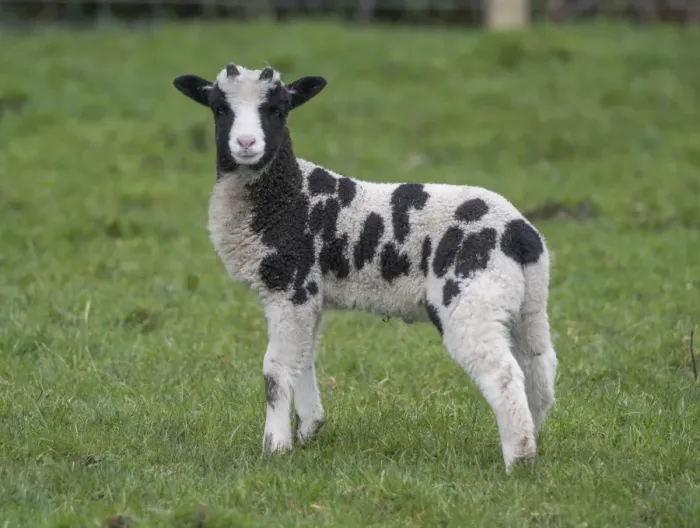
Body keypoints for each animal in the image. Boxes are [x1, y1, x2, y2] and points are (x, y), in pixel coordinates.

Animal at [172, 62, 558, 473]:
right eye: (219, 109)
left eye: (277, 110)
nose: (246, 144)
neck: (289, 197)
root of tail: (520, 234)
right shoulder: (310, 295)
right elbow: (303, 359)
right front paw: (308, 428)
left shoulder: (291, 285)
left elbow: (276, 370)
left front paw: (274, 447)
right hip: (524, 304)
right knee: (538, 366)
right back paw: (532, 440)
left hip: (472, 298)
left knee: (503, 374)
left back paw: (519, 460)